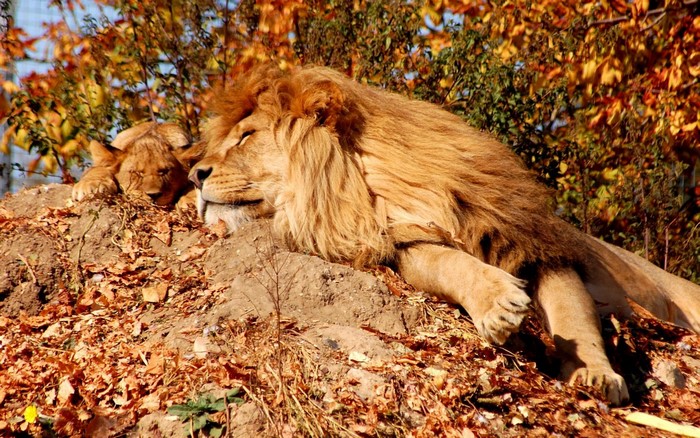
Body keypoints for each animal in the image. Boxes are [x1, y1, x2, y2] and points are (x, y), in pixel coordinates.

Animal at [189, 64, 700, 405]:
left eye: (247, 136)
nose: (195, 175)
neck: (371, 186)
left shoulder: (536, 244)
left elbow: (574, 316)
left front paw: (596, 375)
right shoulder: (403, 243)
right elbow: (450, 263)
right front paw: (500, 305)